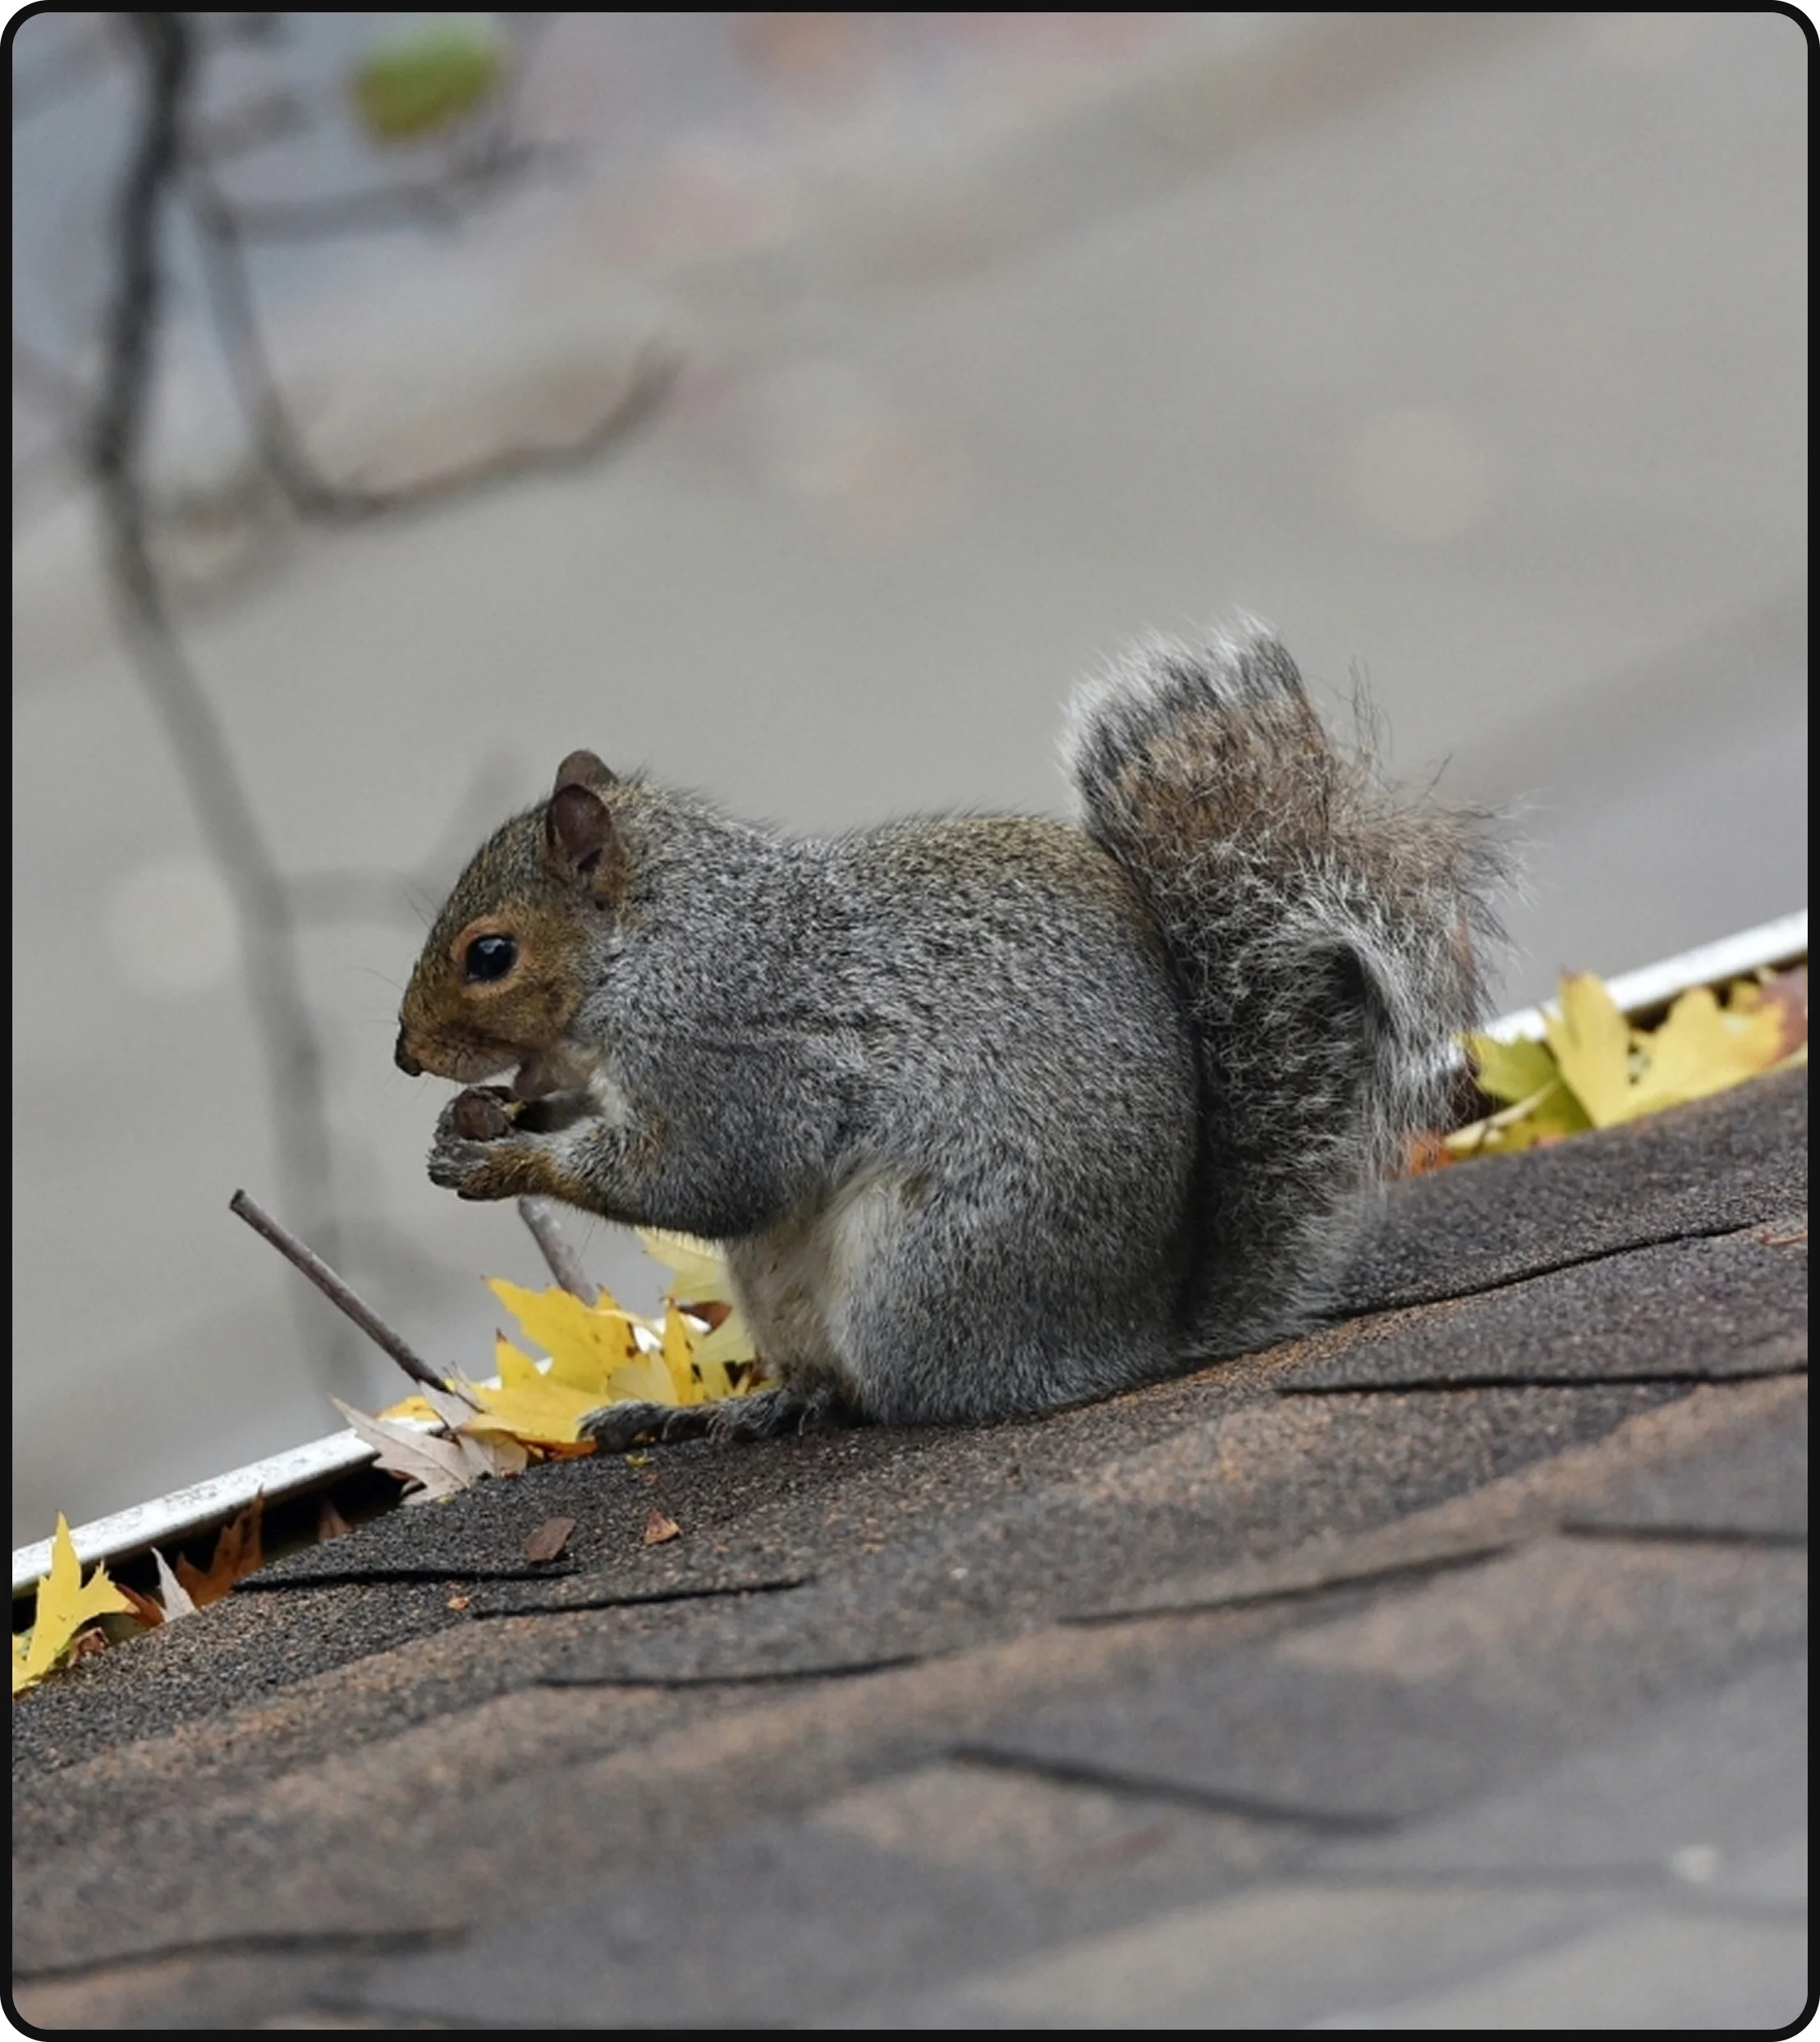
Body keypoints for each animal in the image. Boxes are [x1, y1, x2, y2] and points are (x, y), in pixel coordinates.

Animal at [396, 621, 1505, 1449]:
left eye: (489, 954)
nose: (407, 1055)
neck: (655, 945)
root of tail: (1131, 1337)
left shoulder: (731, 1052)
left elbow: (709, 1176)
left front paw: (507, 1165)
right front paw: (473, 1123)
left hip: (921, 1269)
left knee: (891, 1393)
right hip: (782, 1287)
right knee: (821, 1381)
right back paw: (732, 1409)